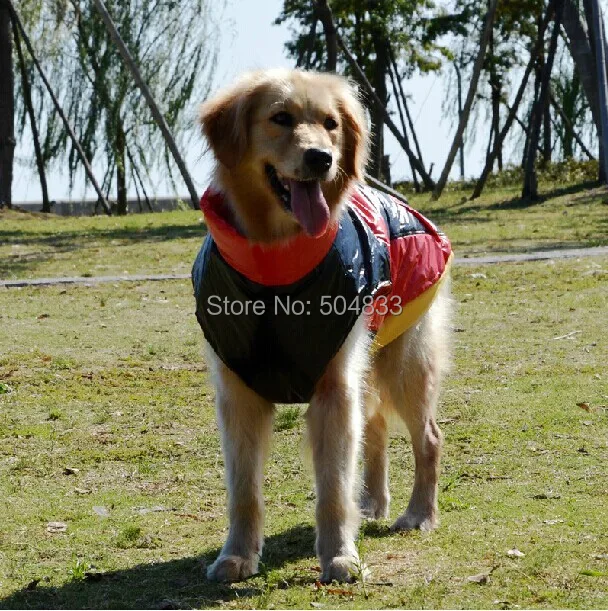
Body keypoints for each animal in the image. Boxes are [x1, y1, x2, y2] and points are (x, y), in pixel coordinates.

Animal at [194, 69, 452, 584]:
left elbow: (332, 488)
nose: (321, 158)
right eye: (280, 118)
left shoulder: (334, 387)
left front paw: (339, 557)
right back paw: (370, 502)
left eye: (331, 124)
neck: (275, 269)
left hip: (405, 366)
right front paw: (237, 555)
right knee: (375, 430)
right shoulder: (237, 392)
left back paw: (419, 514)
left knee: (428, 439)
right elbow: (244, 491)